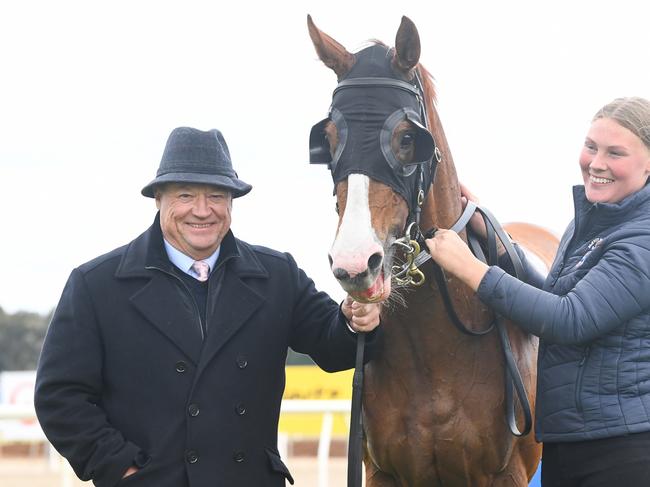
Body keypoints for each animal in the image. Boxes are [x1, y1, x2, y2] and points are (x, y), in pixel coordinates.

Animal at [306, 16, 560, 487]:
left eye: (407, 138)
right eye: (329, 138)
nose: (355, 264)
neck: (434, 356)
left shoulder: (508, 474)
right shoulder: (383, 472)